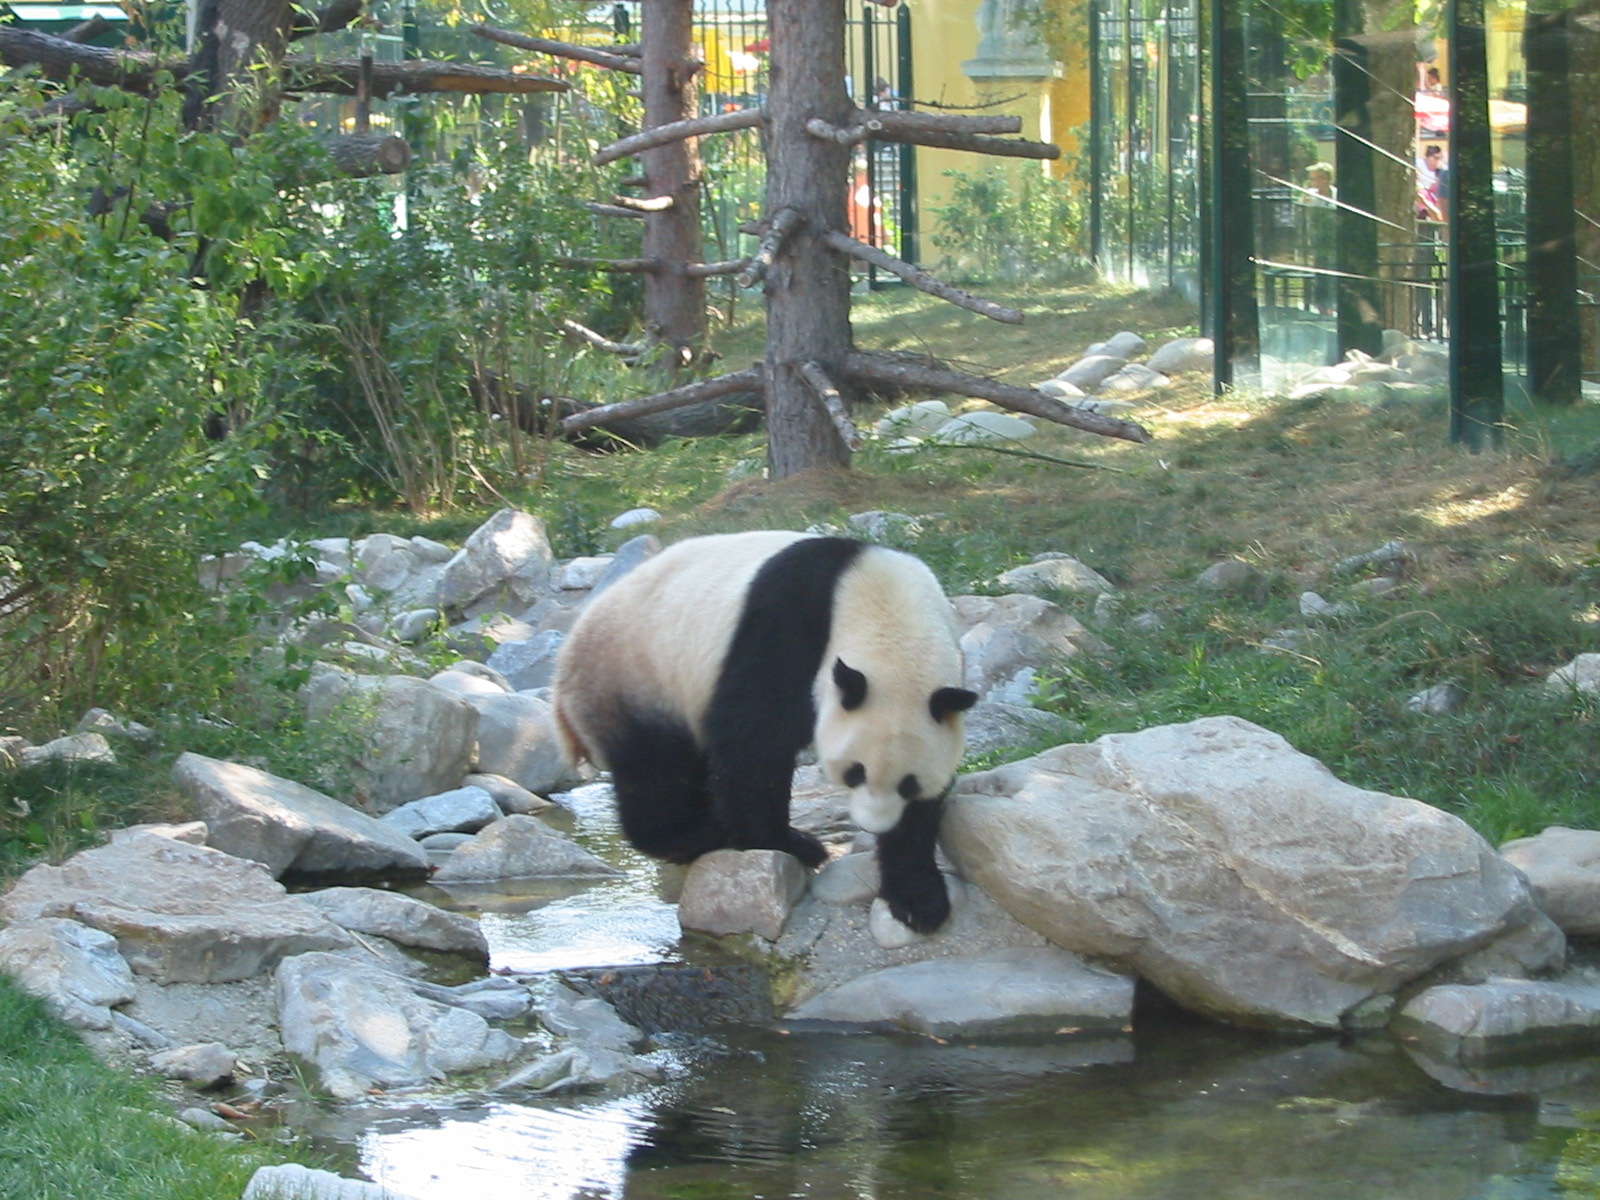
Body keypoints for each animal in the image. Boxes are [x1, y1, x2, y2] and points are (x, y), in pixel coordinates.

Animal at [552, 530, 978, 933]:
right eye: (855, 772)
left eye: (909, 784)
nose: (874, 824)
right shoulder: (787, 627)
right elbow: (753, 742)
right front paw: (786, 843)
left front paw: (918, 899)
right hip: (636, 677)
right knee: (656, 772)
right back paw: (699, 833)